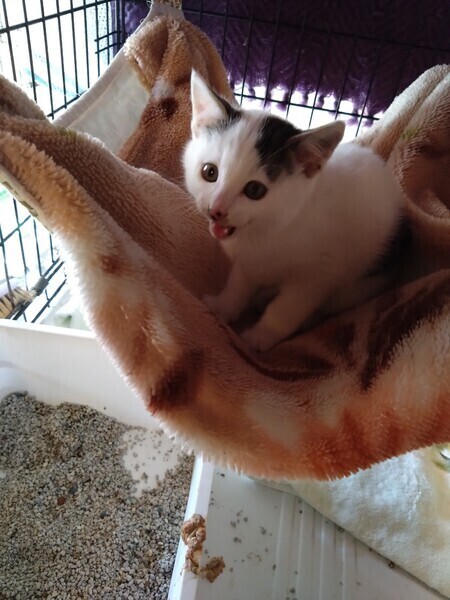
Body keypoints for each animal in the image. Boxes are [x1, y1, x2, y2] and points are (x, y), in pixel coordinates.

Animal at [183, 70, 405, 352]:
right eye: (209, 172)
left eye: (254, 190)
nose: (216, 210)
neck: (270, 230)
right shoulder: (249, 260)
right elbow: (240, 283)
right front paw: (225, 306)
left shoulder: (320, 272)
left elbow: (287, 308)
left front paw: (258, 338)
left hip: (363, 281)